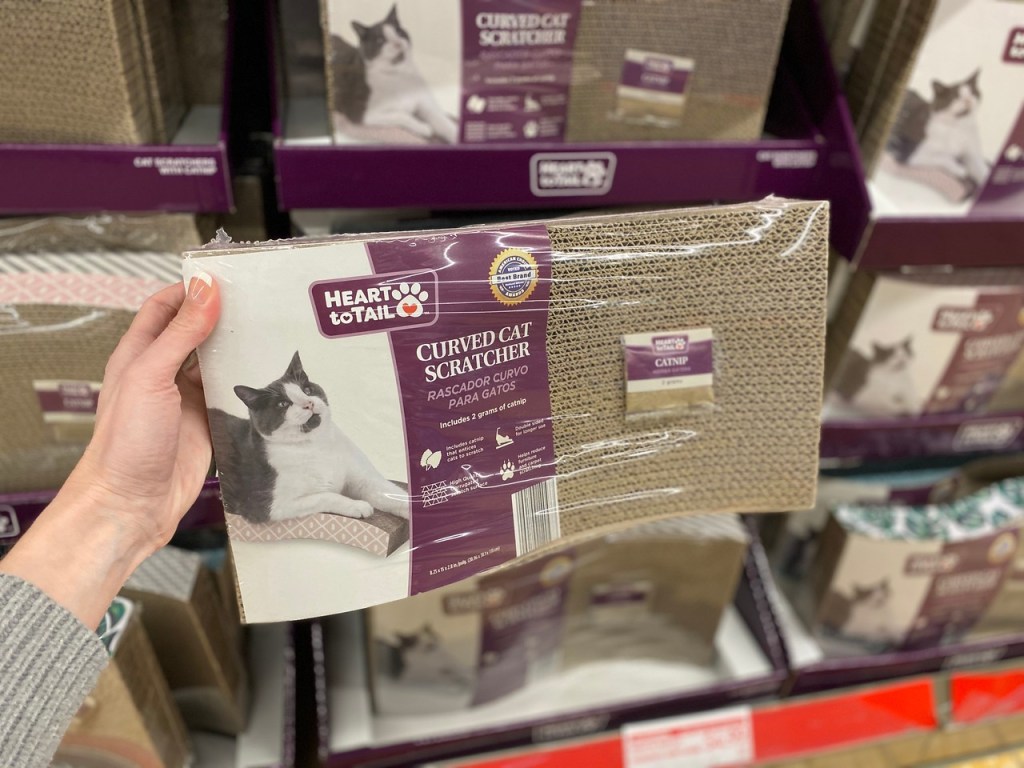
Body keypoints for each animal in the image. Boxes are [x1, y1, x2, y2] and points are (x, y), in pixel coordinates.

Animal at [207, 354, 407, 524]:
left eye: (307, 390)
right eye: (283, 404)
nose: (309, 403)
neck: (317, 445)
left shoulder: (364, 479)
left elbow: (390, 492)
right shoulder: (268, 505)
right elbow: (325, 496)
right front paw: (357, 505)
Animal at [331, 5, 456, 143]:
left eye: (400, 33)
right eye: (380, 40)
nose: (398, 43)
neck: (398, 74)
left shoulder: (427, 105)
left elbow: (443, 121)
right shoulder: (363, 114)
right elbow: (400, 115)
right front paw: (423, 127)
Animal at [892, 70, 987, 199]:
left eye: (972, 92)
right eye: (955, 96)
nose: (967, 100)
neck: (957, 127)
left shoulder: (972, 150)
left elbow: (979, 167)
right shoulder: (912, 154)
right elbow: (943, 157)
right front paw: (959, 169)